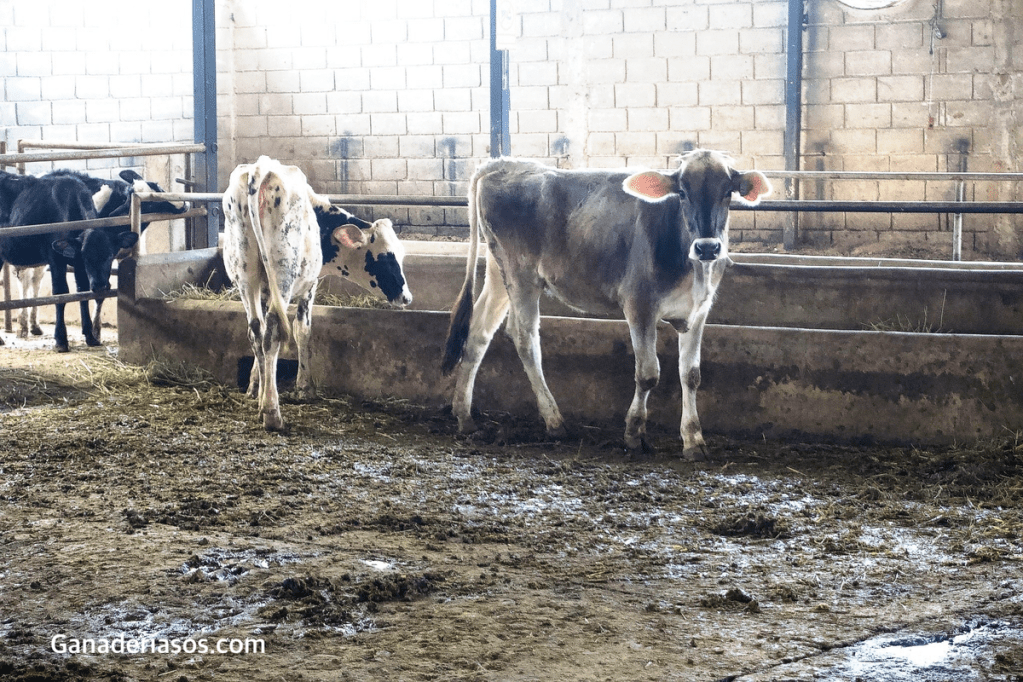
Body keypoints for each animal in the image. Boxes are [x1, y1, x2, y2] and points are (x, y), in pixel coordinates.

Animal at [0, 169, 187, 344]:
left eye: (158, 187)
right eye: (149, 202)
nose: (182, 202)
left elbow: (92, 291)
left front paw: (92, 332)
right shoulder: (61, 257)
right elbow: (65, 292)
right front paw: (88, 333)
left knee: (35, 281)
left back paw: (33, 326)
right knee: (25, 280)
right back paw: (23, 327)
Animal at [222, 156, 412, 431]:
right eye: (386, 258)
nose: (406, 297)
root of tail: (261, 168)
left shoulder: (265, 289)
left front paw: (255, 386)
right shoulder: (309, 286)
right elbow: (303, 330)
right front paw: (304, 387)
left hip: (245, 274)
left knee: (256, 330)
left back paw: (263, 402)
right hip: (283, 273)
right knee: (272, 332)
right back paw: (272, 413)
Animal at [441, 150, 771, 459]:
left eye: (728, 192)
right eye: (682, 192)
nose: (707, 247)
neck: (691, 266)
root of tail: (505, 164)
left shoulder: (699, 310)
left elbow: (691, 376)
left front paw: (693, 440)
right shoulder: (639, 304)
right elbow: (648, 373)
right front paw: (634, 433)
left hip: (499, 273)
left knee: (478, 333)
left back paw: (464, 416)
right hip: (521, 273)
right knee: (524, 338)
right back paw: (554, 421)